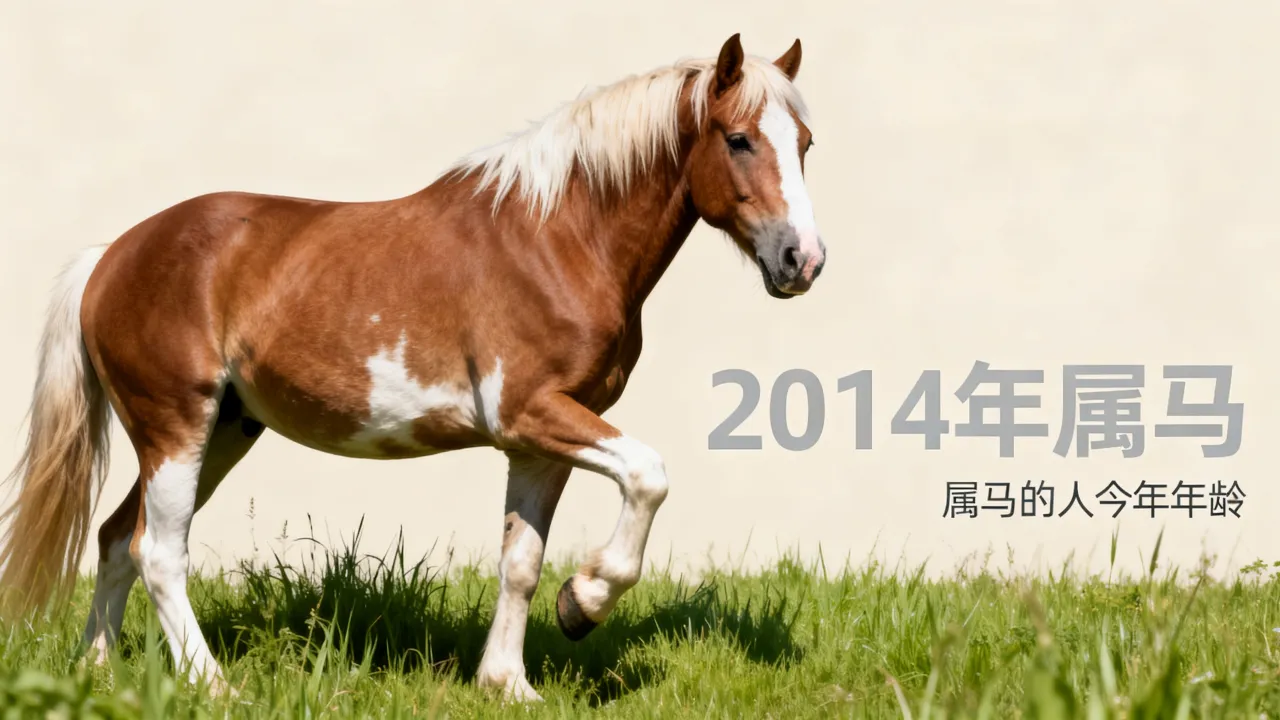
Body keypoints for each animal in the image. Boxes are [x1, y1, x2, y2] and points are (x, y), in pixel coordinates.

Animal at [0, 33, 823, 701]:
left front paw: (509, 683)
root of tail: (110, 256)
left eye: (807, 143)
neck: (560, 239)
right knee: (158, 552)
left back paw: (97, 672)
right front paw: (583, 604)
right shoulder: (532, 412)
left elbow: (520, 562)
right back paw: (214, 686)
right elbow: (650, 475)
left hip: (225, 429)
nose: (803, 261)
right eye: (739, 139)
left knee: (116, 538)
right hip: (176, 425)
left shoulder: (541, 441)